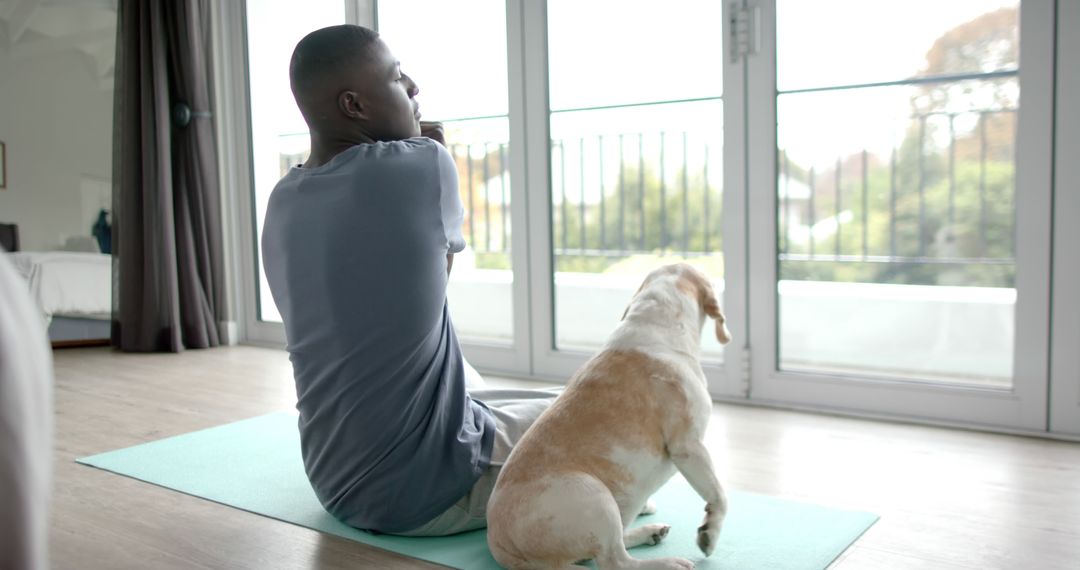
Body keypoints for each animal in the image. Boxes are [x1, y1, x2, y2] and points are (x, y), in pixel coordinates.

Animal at [490, 263, 734, 570]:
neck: (655, 324)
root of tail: (497, 542)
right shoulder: (690, 447)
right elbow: (719, 495)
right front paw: (709, 534)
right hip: (595, 496)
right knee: (614, 561)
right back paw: (667, 562)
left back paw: (650, 531)